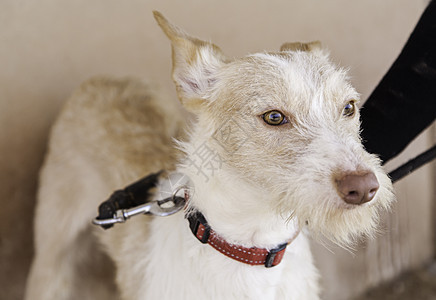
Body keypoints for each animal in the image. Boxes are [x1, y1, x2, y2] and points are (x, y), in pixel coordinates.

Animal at [27, 11, 396, 300]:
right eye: (274, 117)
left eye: (348, 107)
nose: (364, 187)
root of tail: (103, 77)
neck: (250, 247)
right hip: (51, 256)